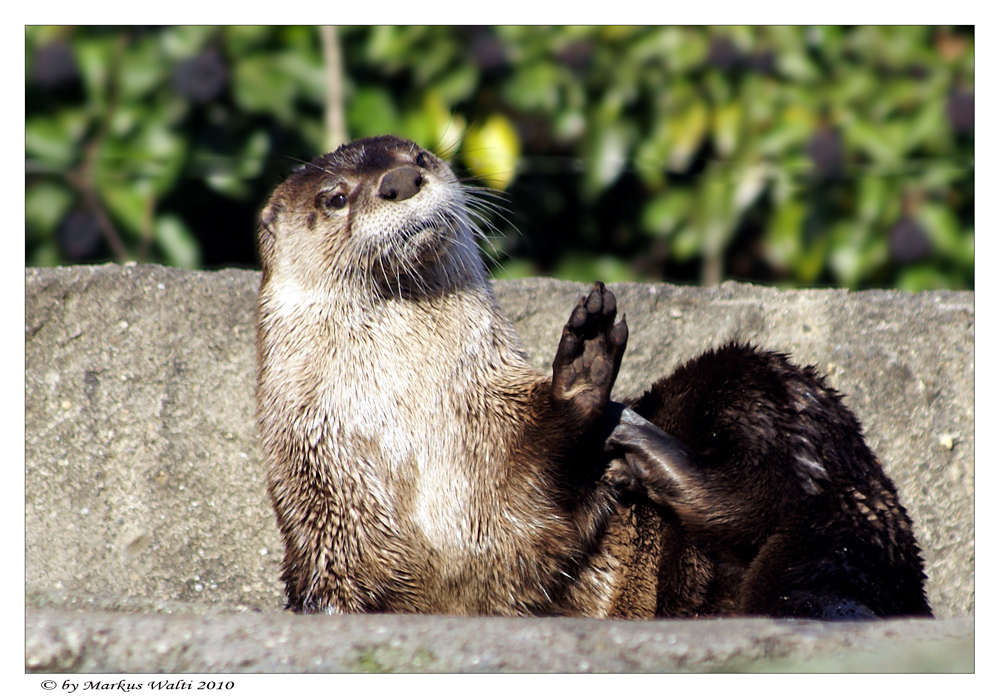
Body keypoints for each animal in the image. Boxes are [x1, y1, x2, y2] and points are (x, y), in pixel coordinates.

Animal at [256, 134, 928, 620]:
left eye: (419, 157)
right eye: (336, 197)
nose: (401, 180)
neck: (410, 431)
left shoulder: (499, 438)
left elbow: (539, 492)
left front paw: (582, 368)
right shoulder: (325, 515)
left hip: (759, 388)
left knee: (756, 479)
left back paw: (643, 448)